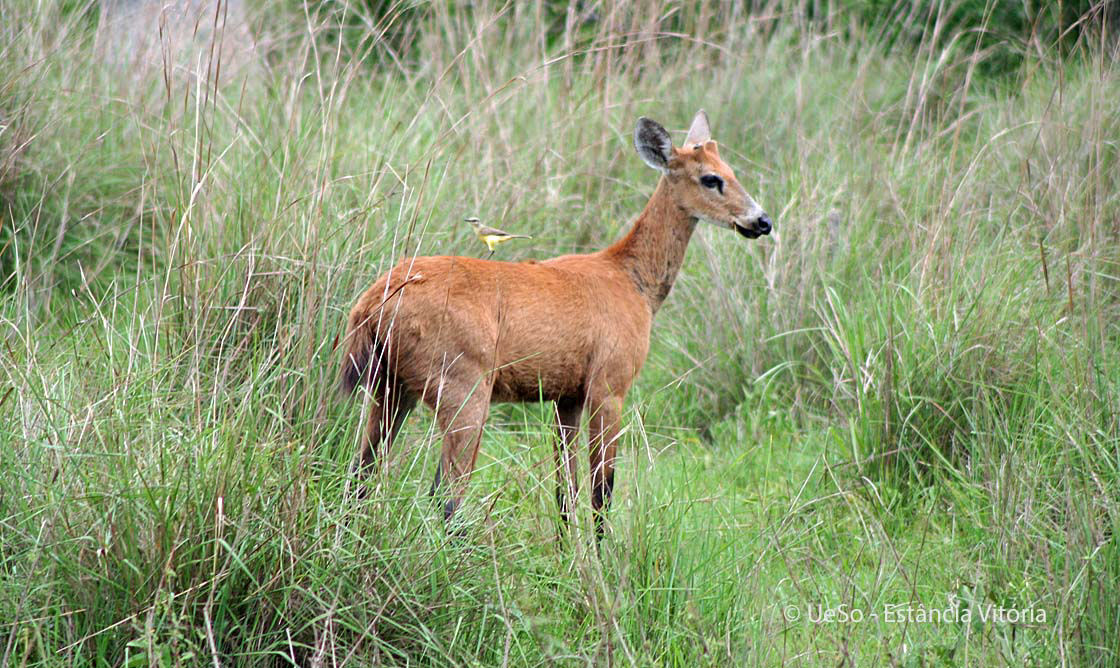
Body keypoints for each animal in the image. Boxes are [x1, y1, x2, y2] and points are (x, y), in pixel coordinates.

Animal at [338, 110, 770, 537]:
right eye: (710, 178)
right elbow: (601, 492)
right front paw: (602, 555)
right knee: (444, 495)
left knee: (361, 476)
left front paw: (567, 551)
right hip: (462, 387)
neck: (632, 282)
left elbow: (565, 490)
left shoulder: (567, 396)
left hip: (392, 388)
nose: (762, 221)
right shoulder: (610, 384)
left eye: (731, 170)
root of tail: (371, 304)